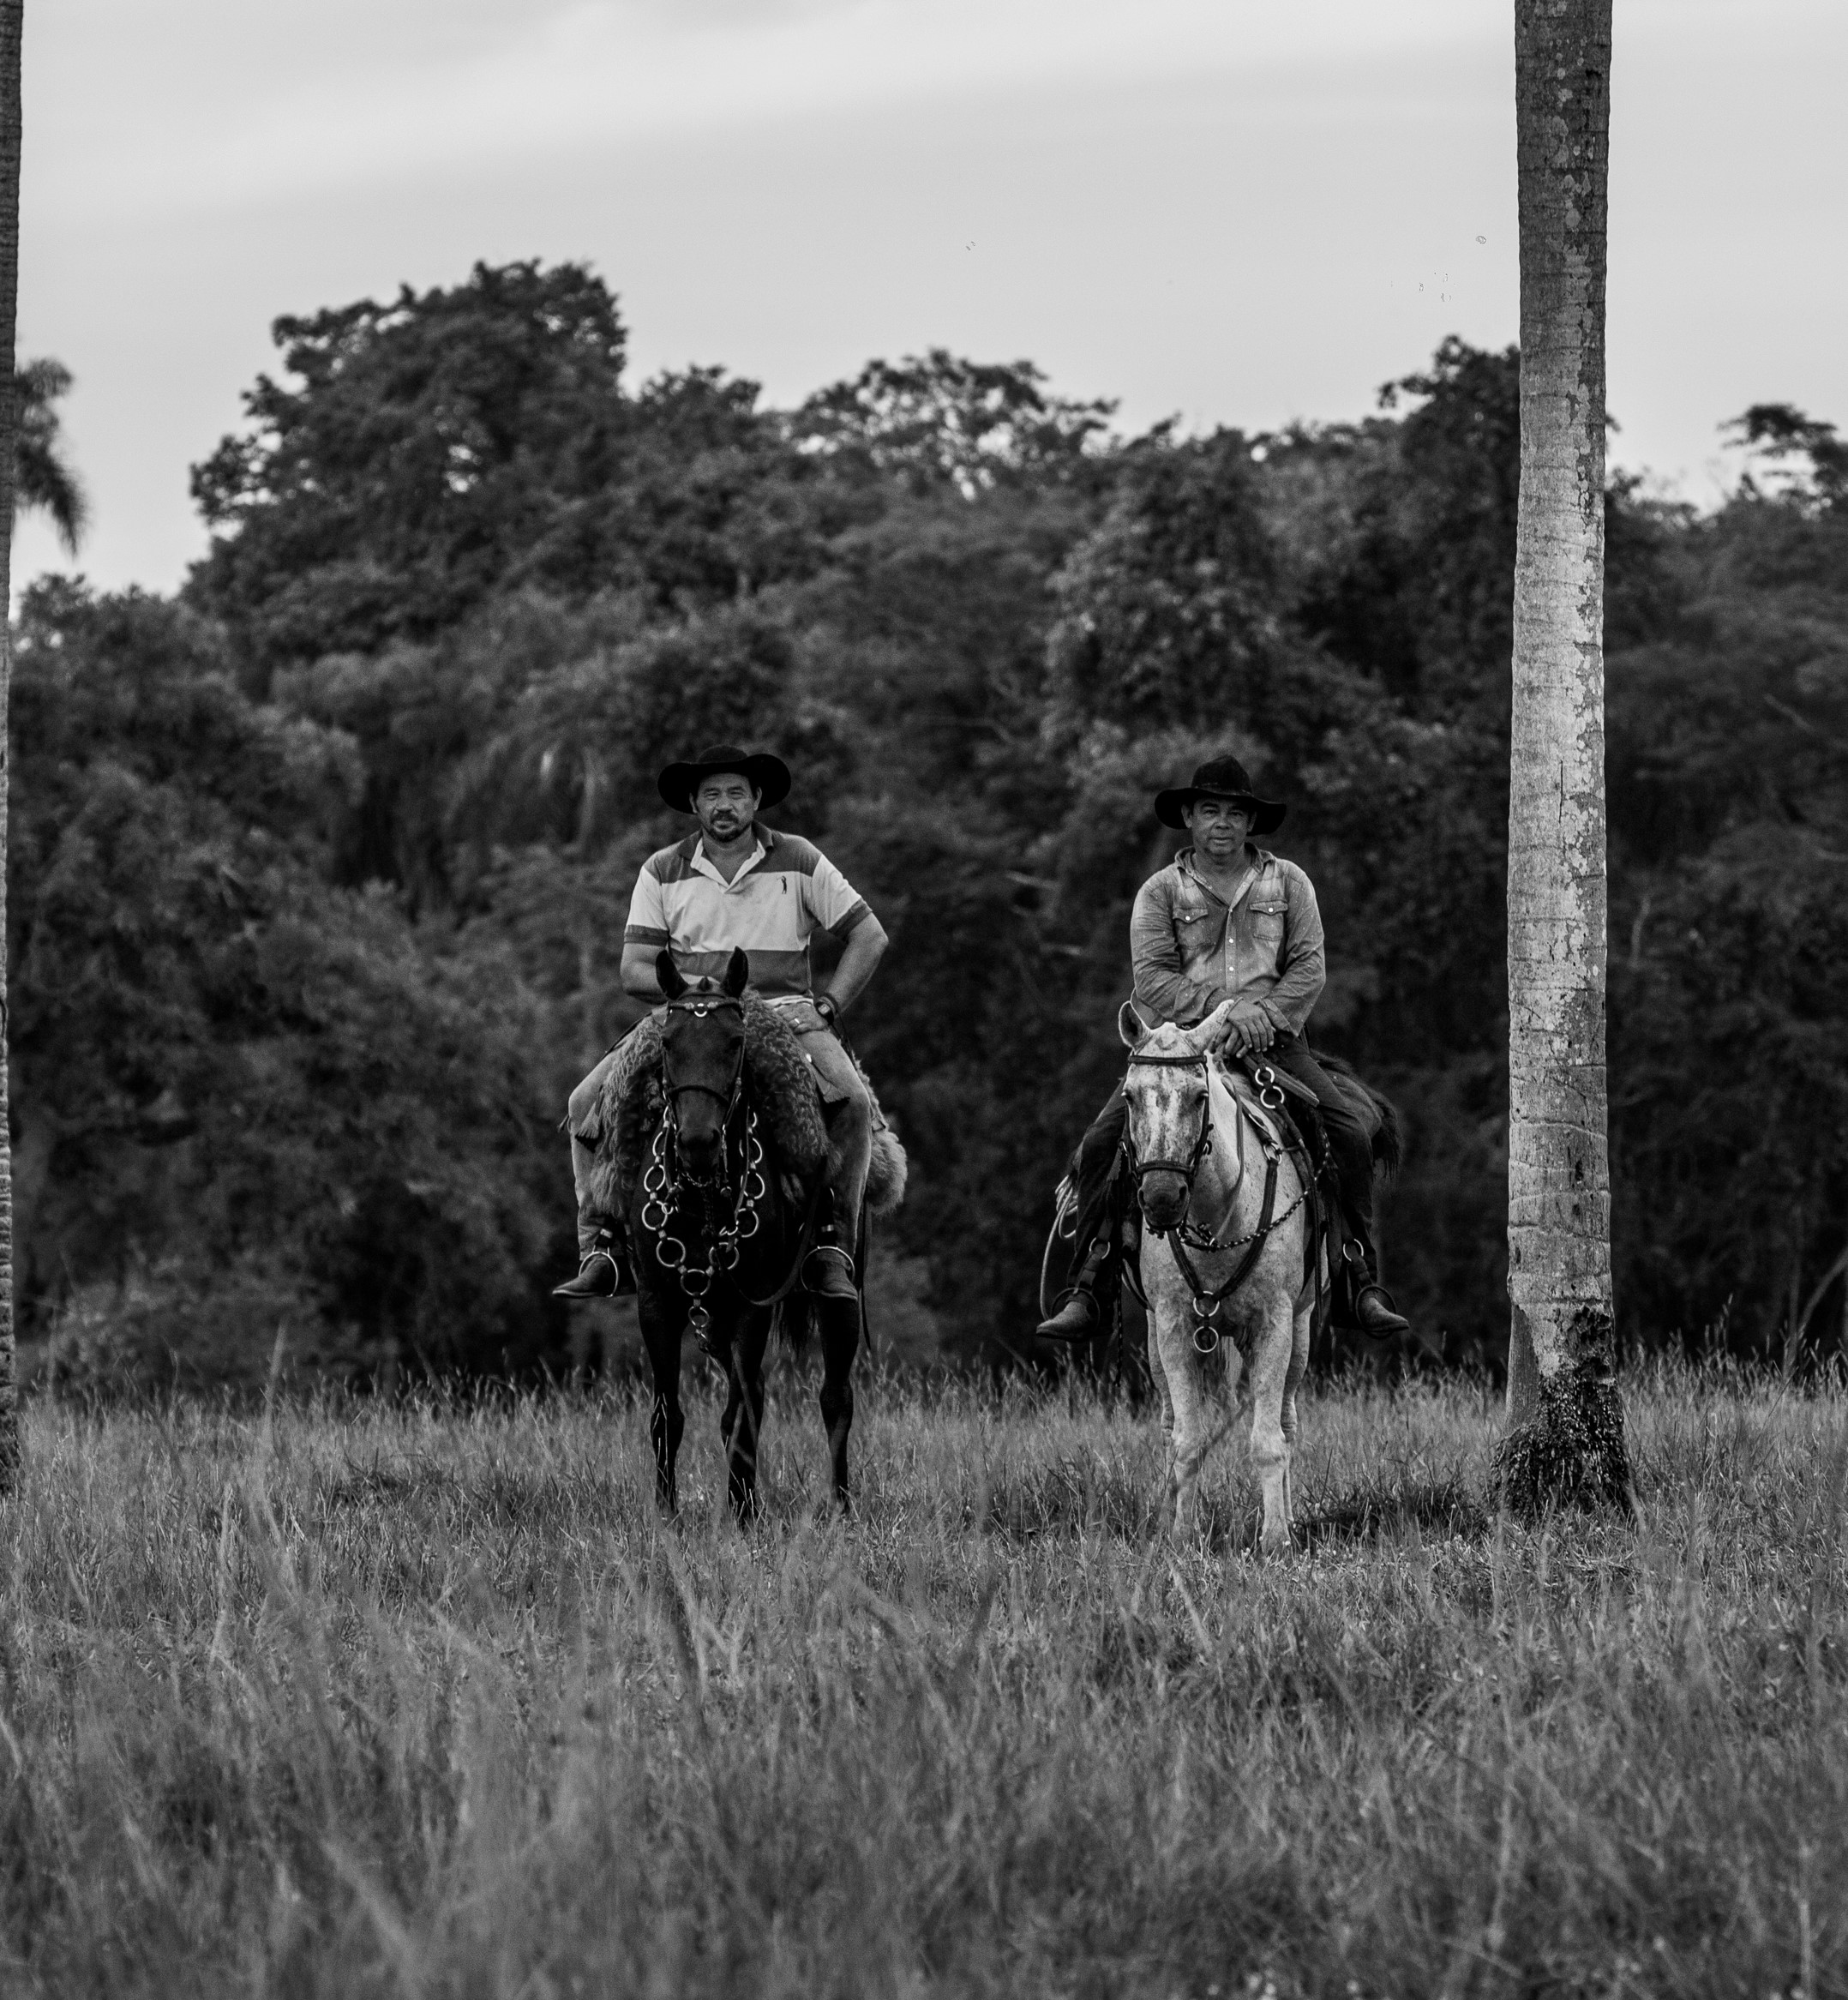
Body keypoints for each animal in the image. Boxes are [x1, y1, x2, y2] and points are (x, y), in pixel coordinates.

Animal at [627, 944, 867, 1520]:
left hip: (834, 1295)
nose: (696, 1141)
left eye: (735, 1042)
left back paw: (840, 1506)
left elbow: (737, 1416)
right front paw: (667, 1516)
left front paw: (742, 1512)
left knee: (834, 1398)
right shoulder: (656, 1303)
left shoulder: (751, 1304)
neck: (702, 1200)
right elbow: (668, 1415)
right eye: (667, 1042)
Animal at [1112, 1007, 1328, 1552]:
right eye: (1130, 1096)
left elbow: (1269, 1440)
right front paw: (1181, 1536)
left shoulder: (1274, 1325)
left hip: (1299, 1330)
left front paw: (1276, 1539)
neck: (1219, 1217)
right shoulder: (1172, 1328)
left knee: (1287, 1422)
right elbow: (1188, 1440)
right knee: (1169, 1426)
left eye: (1198, 1096)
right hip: (1155, 1340)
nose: (1161, 1199)